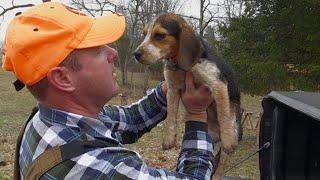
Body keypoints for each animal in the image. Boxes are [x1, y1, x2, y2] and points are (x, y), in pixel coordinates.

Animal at [134, 13, 241, 179]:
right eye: (144, 34)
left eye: (160, 36)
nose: (136, 54)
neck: (179, 64)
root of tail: (215, 137)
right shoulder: (172, 89)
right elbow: (171, 117)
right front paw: (169, 139)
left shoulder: (218, 84)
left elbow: (223, 114)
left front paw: (228, 140)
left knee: (222, 163)